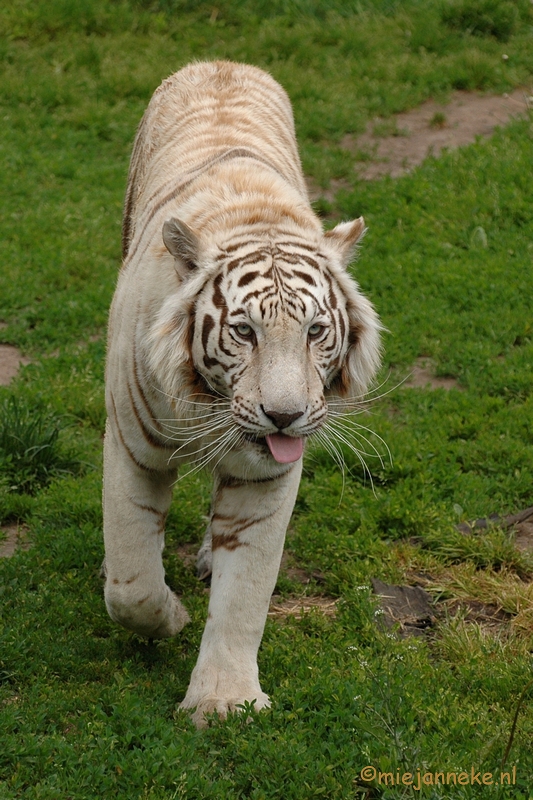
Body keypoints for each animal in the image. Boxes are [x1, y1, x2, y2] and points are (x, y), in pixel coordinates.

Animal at [102, 59, 380, 728]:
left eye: (315, 332)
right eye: (245, 331)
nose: (284, 416)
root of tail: (220, 62)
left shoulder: (265, 478)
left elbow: (245, 591)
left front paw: (224, 700)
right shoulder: (131, 447)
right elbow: (131, 581)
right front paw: (171, 616)